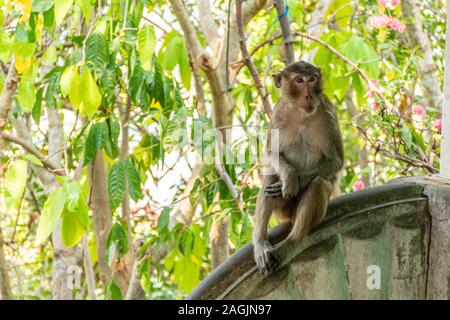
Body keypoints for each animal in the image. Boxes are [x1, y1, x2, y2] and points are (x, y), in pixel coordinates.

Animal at [251, 61, 342, 276]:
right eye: (299, 80)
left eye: (312, 79)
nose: (308, 95)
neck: (301, 115)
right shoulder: (277, 115)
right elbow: (271, 152)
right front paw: (290, 178)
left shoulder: (327, 115)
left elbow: (335, 161)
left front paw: (296, 182)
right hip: (283, 212)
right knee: (270, 178)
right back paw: (261, 244)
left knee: (318, 184)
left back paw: (290, 243)